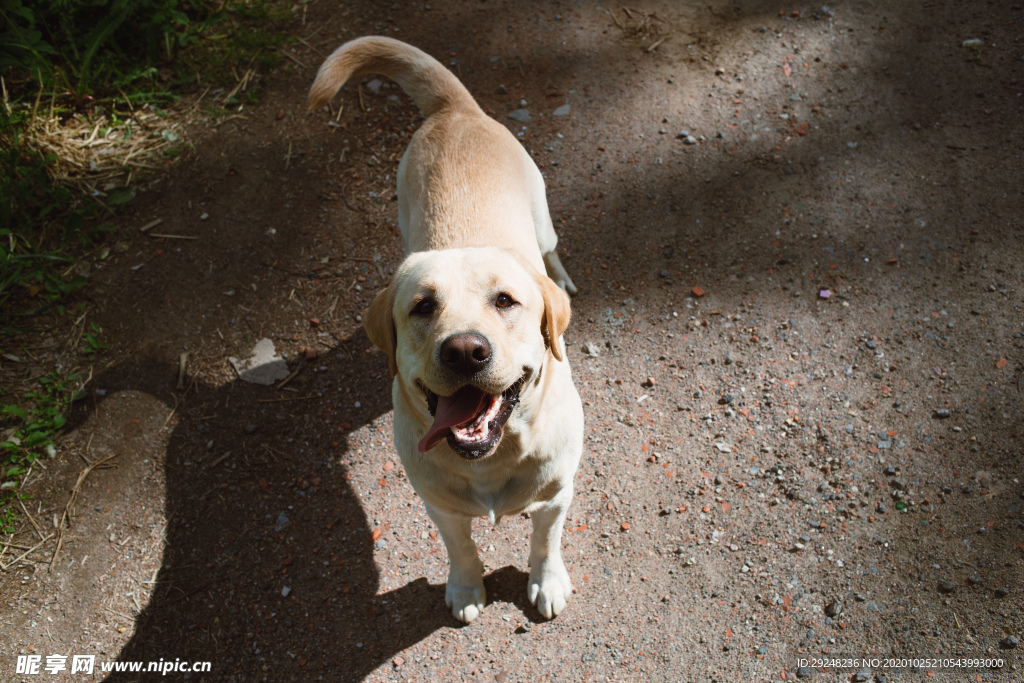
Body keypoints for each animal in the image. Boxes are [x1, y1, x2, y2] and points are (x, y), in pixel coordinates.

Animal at [307, 37, 585, 626]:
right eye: (422, 306)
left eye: (505, 300)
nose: (464, 350)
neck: (493, 457)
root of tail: (455, 110)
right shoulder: (439, 506)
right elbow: (461, 548)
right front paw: (465, 587)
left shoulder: (556, 496)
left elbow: (545, 542)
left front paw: (547, 582)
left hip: (543, 215)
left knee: (551, 249)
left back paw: (560, 278)